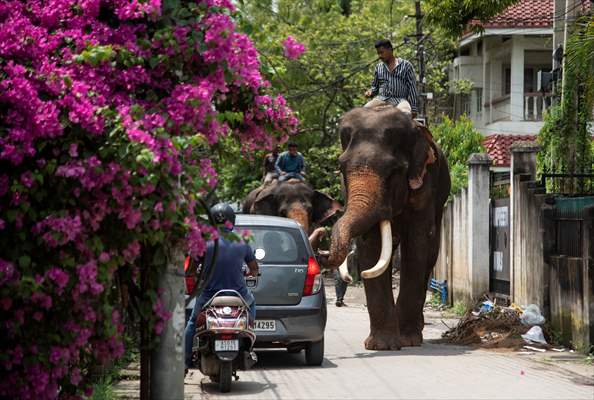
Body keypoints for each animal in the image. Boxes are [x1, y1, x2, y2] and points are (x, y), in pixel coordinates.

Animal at [322, 105, 446, 350]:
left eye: (392, 172)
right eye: (341, 168)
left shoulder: (426, 184)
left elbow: (417, 243)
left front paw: (407, 341)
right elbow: (372, 245)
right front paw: (381, 346)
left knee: (430, 253)